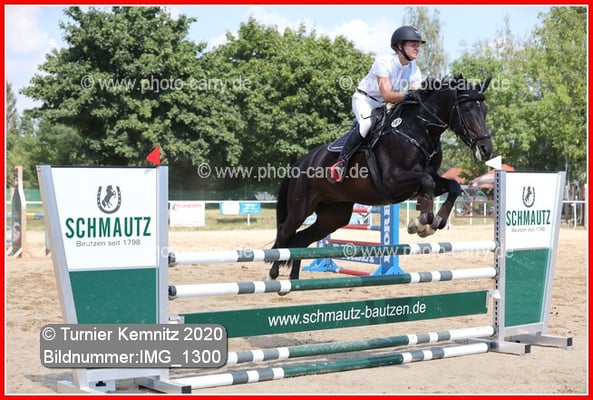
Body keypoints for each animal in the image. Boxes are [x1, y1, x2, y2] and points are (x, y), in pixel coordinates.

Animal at [269, 75, 493, 280]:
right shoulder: (393, 182)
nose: (486, 149)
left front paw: (434, 221)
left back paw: (293, 280)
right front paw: (422, 222)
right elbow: (427, 183)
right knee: (285, 230)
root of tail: (301, 161)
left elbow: (452, 186)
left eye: (485, 110)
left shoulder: (428, 178)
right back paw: (273, 273)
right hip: (301, 208)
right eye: (467, 109)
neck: (417, 131)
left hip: (333, 215)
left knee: (300, 240)